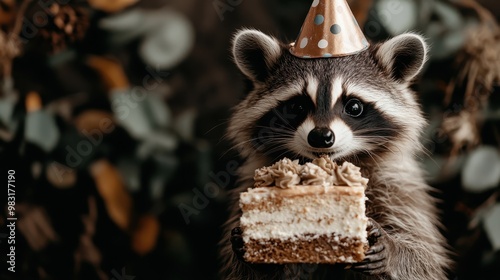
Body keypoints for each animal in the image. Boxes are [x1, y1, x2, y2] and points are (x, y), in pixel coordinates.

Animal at [220, 29, 454, 278]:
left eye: (354, 107)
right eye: (297, 107)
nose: (321, 137)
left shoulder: (398, 185)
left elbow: (423, 255)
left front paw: (393, 250)